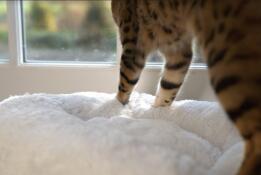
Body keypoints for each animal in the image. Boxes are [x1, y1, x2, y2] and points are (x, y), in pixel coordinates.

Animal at [110, 0, 258, 174]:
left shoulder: (134, 44)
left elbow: (125, 83)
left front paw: (117, 105)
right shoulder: (178, 49)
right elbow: (168, 86)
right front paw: (157, 110)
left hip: (226, 60)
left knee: (256, 138)